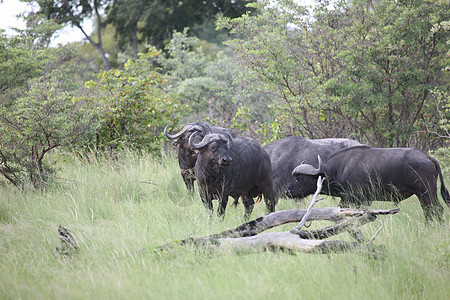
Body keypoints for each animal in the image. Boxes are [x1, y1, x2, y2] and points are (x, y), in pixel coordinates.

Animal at [288, 145, 450, 223]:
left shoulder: (354, 199)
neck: (340, 169)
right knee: (428, 211)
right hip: (423, 195)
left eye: (300, 178)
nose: (288, 191)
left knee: (435, 210)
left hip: (427, 193)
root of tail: (428, 158)